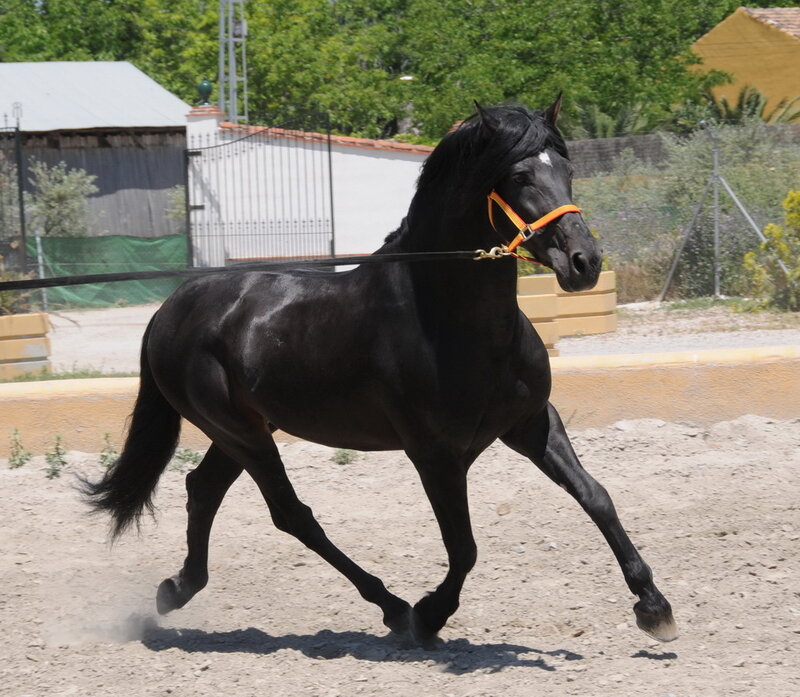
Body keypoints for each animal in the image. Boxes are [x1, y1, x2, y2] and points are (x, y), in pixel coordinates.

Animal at [82, 96, 677, 645]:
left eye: (567, 169)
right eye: (520, 176)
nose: (584, 264)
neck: (448, 319)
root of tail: (170, 309)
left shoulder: (531, 425)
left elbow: (596, 496)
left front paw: (654, 607)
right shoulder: (435, 455)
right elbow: (464, 547)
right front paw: (429, 615)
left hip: (244, 431)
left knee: (203, 489)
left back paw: (177, 589)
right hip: (241, 434)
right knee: (291, 514)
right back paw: (392, 607)